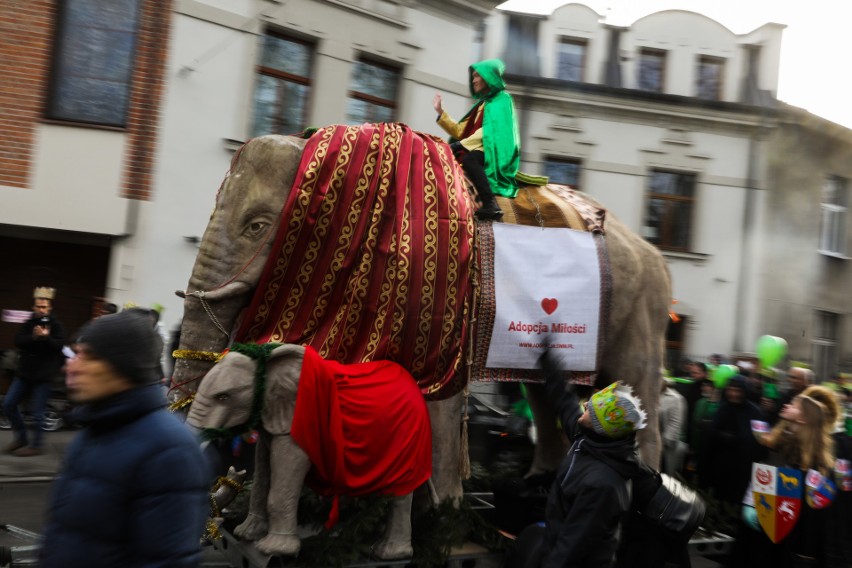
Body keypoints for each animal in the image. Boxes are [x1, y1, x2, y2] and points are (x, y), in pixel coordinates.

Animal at [173, 121, 672, 510]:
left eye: (257, 226)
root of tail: (656, 254)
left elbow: (440, 402)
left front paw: (439, 513)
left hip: (640, 309)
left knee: (634, 382)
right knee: (546, 394)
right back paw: (535, 487)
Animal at [186, 344, 426, 556]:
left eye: (223, 397)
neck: (268, 360)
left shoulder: (301, 418)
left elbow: (287, 470)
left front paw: (273, 550)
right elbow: (262, 468)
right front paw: (245, 534)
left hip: (406, 438)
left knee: (400, 495)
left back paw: (389, 553)